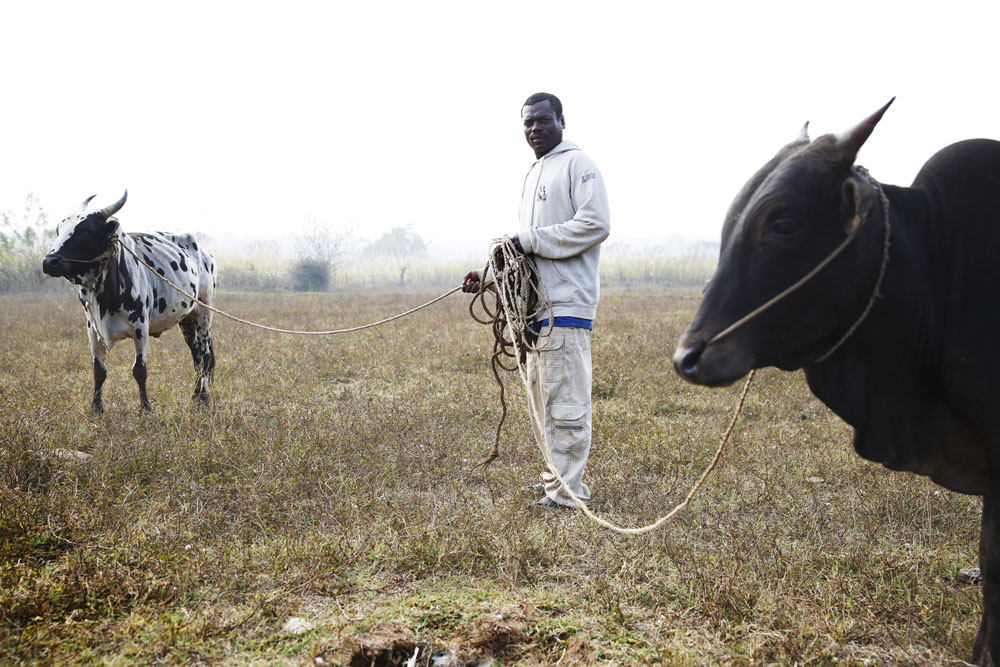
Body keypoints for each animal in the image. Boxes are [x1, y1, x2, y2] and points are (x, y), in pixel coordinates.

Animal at [42, 190, 217, 412]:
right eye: (58, 229)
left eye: (86, 230)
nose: (50, 262)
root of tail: (204, 253)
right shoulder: (92, 328)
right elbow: (99, 371)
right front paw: (96, 408)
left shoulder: (140, 328)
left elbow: (139, 370)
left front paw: (145, 408)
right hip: (186, 318)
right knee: (195, 354)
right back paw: (194, 395)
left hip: (204, 313)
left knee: (205, 355)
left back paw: (203, 399)